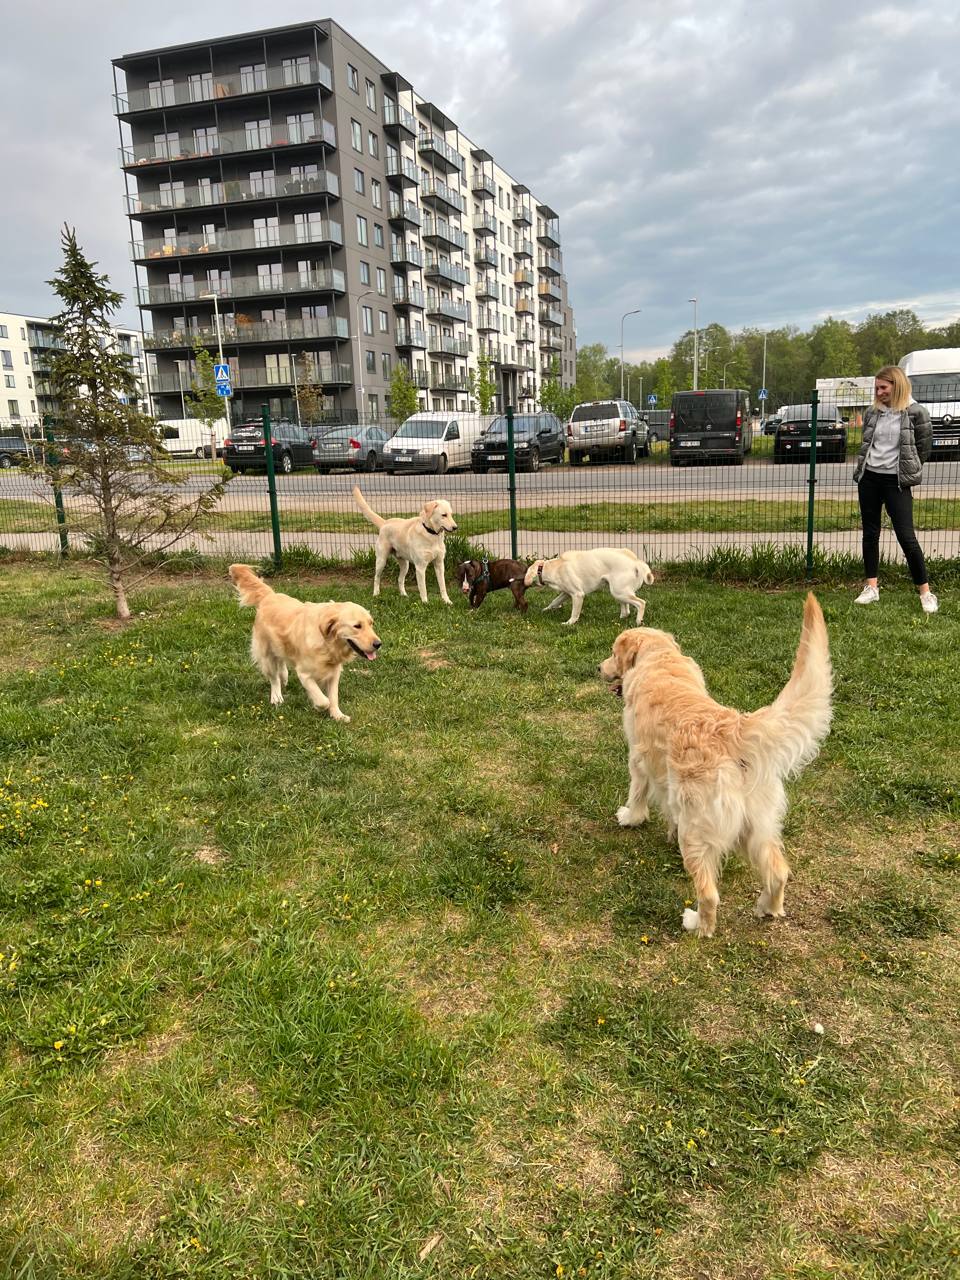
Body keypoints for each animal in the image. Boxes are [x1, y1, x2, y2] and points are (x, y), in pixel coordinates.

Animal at [231, 563, 381, 721]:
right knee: (273, 677)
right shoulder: (304, 674)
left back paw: (284, 676)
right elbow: (324, 700)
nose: (378, 644)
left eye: (371, 623)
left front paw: (338, 715)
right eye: (357, 626)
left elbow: (334, 697)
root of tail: (270, 596)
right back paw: (276, 697)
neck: (326, 643)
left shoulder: (334, 672)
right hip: (265, 654)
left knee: (281, 661)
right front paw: (319, 706)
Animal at [527, 547, 655, 627]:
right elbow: (554, 602)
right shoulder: (566, 593)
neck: (555, 567)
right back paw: (620, 619)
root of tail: (636, 562)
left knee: (641, 603)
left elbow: (574, 613)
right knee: (626, 610)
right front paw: (545, 610)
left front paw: (569, 623)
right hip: (618, 592)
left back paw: (638, 622)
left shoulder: (577, 594)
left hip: (619, 592)